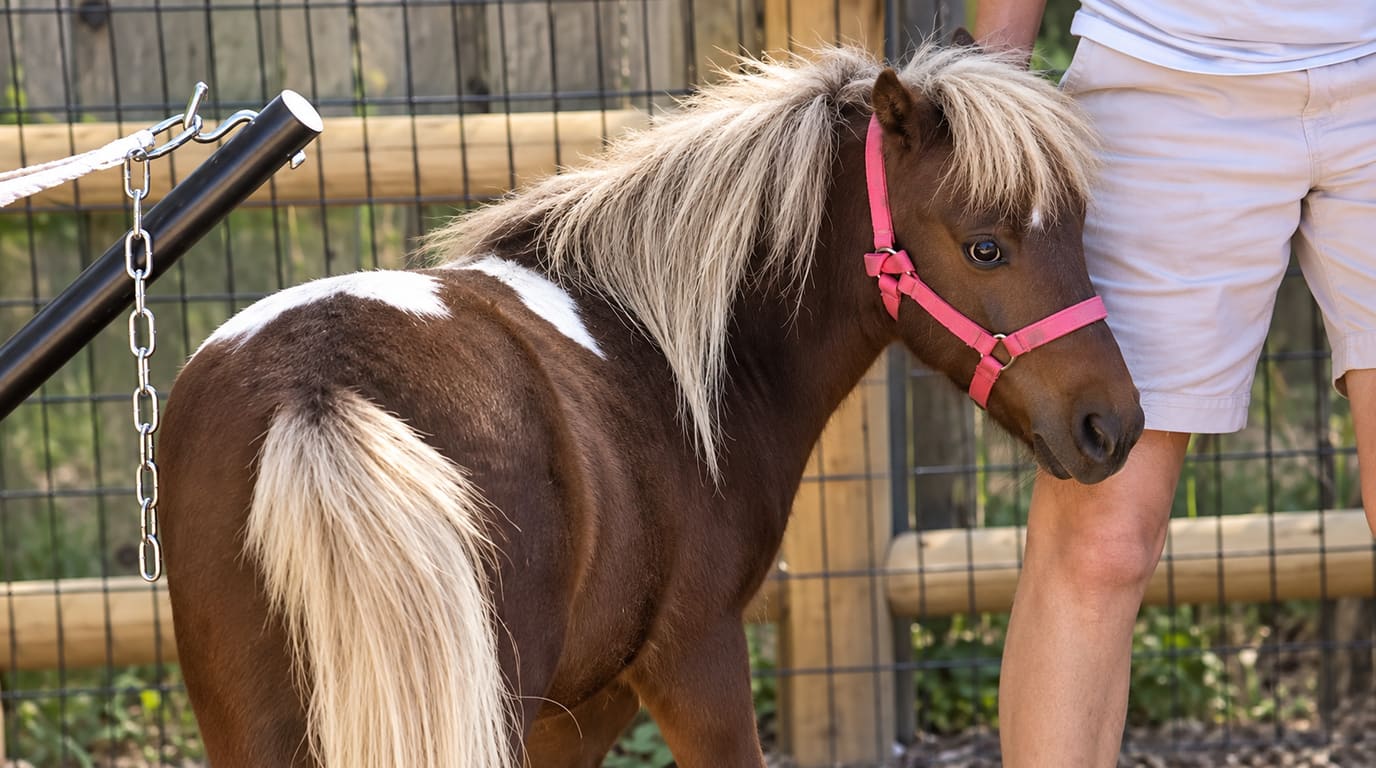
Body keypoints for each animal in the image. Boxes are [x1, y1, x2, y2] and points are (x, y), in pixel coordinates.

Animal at [159, 43, 1143, 767]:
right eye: (986, 247)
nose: (1112, 425)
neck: (665, 350)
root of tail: (317, 383)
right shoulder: (693, 662)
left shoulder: (576, 710)